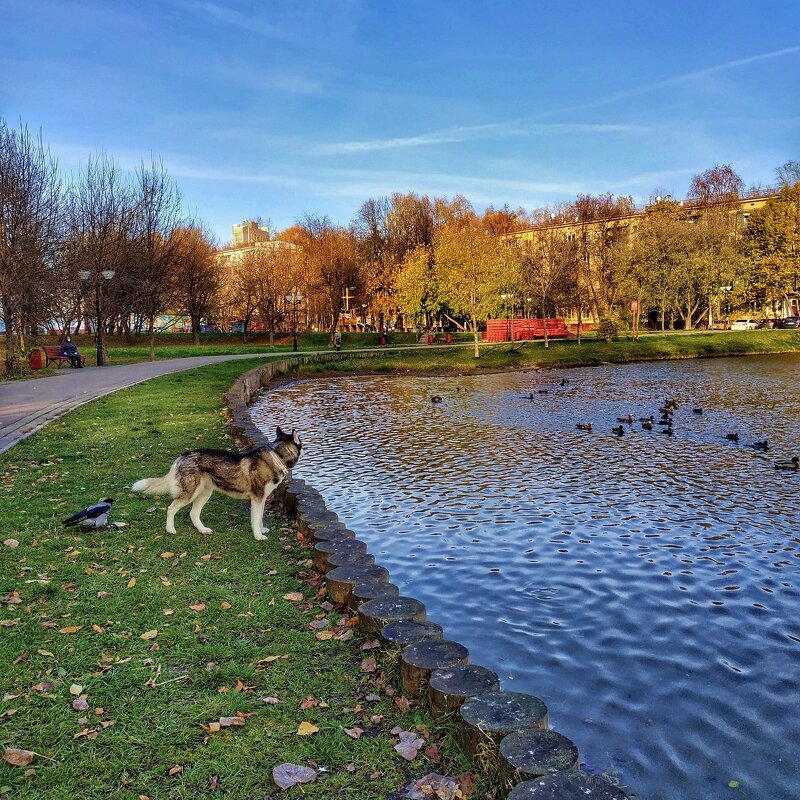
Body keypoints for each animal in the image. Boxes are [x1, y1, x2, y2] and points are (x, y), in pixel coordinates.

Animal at [133, 424, 302, 544]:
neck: (277, 456)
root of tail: (182, 456)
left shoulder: (262, 499)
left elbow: (260, 518)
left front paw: (262, 530)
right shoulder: (257, 499)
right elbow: (255, 519)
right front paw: (258, 536)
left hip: (204, 493)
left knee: (193, 513)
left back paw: (203, 530)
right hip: (189, 493)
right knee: (170, 509)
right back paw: (170, 529)